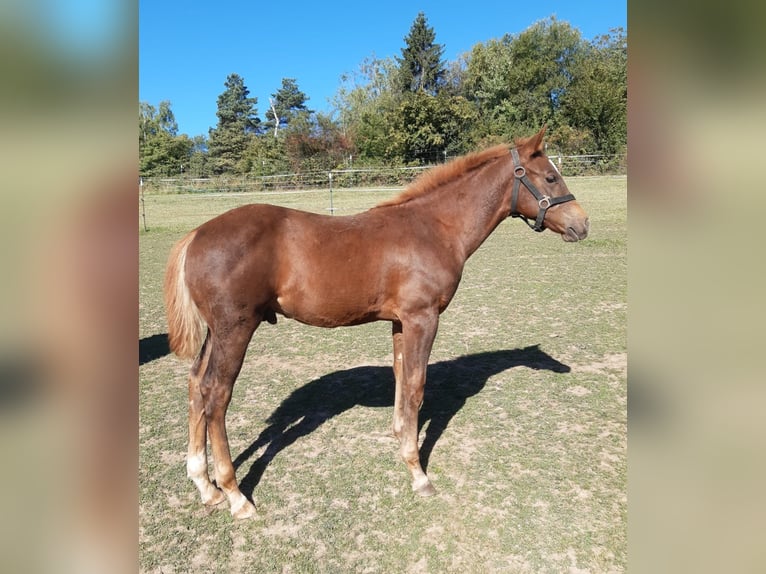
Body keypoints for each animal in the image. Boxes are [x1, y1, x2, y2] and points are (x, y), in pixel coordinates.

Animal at [163, 126, 589, 519]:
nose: (582, 224)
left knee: (196, 385)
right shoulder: (422, 318)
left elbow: (401, 377)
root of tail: (196, 235)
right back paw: (235, 496)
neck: (436, 227)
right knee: (216, 396)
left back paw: (206, 486)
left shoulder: (401, 322)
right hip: (235, 329)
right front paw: (418, 474)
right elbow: (416, 386)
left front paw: (401, 440)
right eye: (550, 177)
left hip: (215, 333)